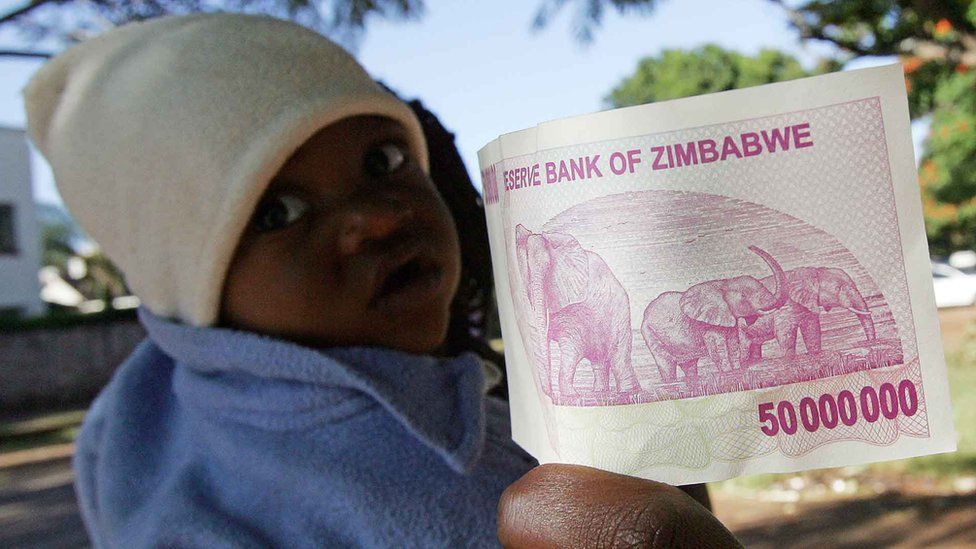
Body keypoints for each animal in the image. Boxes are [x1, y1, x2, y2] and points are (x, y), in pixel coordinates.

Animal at [510, 223, 640, 398]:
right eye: (525, 271)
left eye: (548, 267)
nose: (551, 395)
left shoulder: (573, 306)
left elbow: (572, 347)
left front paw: (571, 396)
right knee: (599, 360)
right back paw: (600, 391)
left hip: (620, 315)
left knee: (619, 355)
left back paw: (629, 392)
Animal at [640, 246, 792, 384]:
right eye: (743, 296)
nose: (750, 246)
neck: (723, 283)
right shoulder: (708, 324)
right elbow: (717, 349)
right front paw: (728, 373)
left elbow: (733, 345)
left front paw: (736, 371)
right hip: (651, 334)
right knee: (666, 365)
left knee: (689, 365)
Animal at [740, 264, 876, 360]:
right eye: (837, 288)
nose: (870, 343)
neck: (812, 272)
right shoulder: (785, 305)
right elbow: (784, 332)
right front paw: (789, 359)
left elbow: (811, 328)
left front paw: (815, 353)